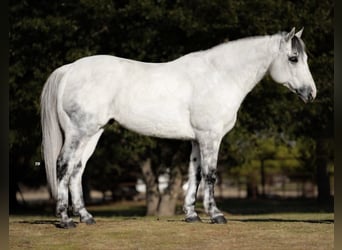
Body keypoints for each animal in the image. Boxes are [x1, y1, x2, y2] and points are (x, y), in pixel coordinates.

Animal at [41, 27, 316, 229]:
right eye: (293, 58)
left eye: (305, 58)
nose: (311, 93)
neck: (219, 76)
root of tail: (69, 69)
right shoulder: (210, 137)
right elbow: (210, 175)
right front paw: (216, 215)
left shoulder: (197, 139)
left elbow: (194, 174)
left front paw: (192, 215)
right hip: (79, 132)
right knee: (63, 165)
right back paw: (65, 220)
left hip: (93, 132)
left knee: (77, 169)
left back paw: (86, 217)